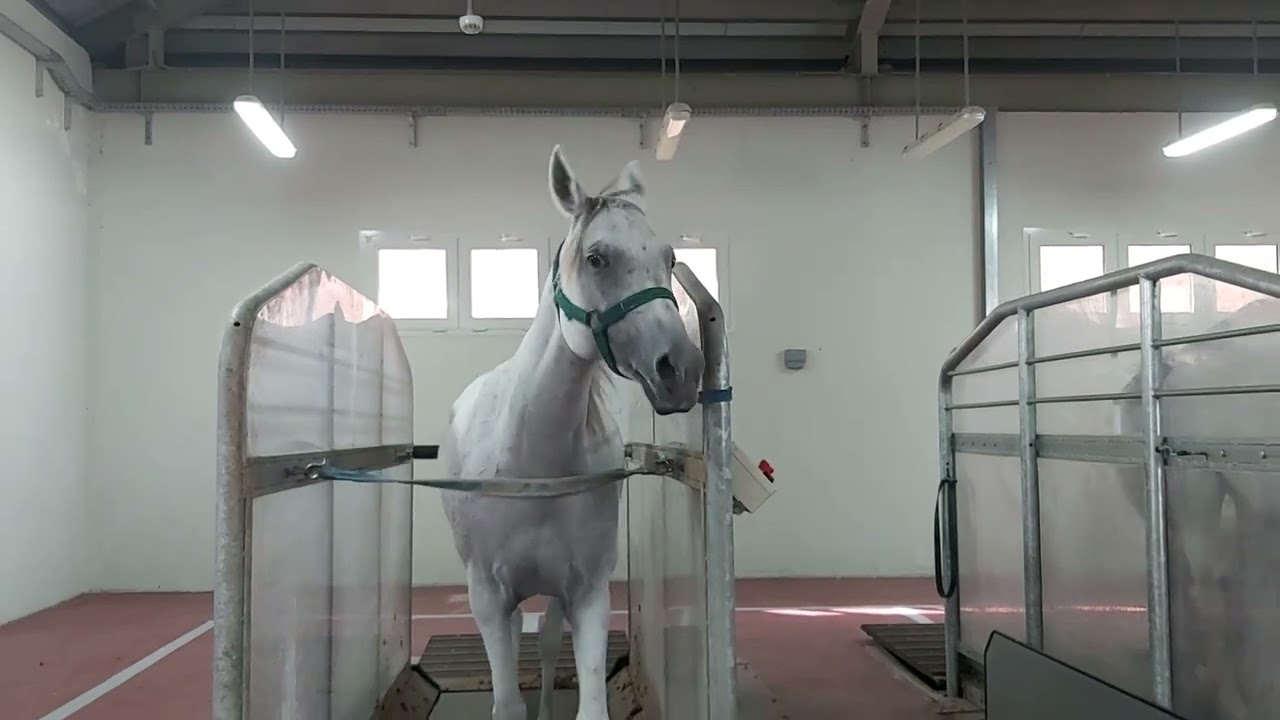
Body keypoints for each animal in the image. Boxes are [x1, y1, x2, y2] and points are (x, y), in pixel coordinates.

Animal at [437, 145, 705, 720]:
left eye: (670, 259)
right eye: (597, 258)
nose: (682, 369)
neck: (532, 464)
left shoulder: (585, 593)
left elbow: (589, 703)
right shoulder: (487, 596)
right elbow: (506, 701)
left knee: (543, 645)